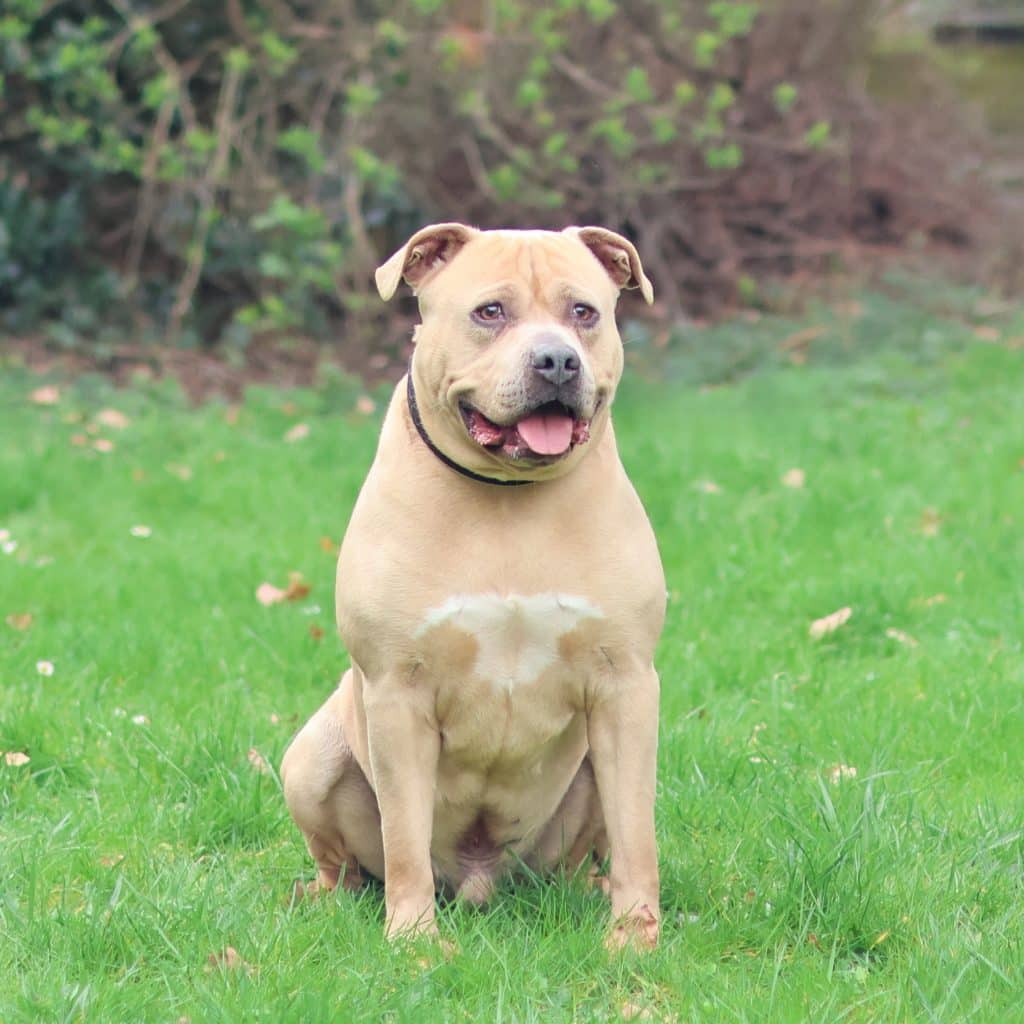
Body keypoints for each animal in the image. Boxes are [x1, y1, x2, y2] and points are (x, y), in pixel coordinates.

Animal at [281, 223, 666, 949]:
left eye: (584, 312)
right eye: (490, 312)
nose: (557, 361)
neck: (507, 499)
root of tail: (483, 882)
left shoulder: (626, 685)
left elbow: (638, 833)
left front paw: (635, 937)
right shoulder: (398, 693)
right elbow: (404, 837)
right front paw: (413, 939)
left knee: (586, 853)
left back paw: (593, 891)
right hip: (311, 758)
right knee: (346, 862)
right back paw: (326, 901)